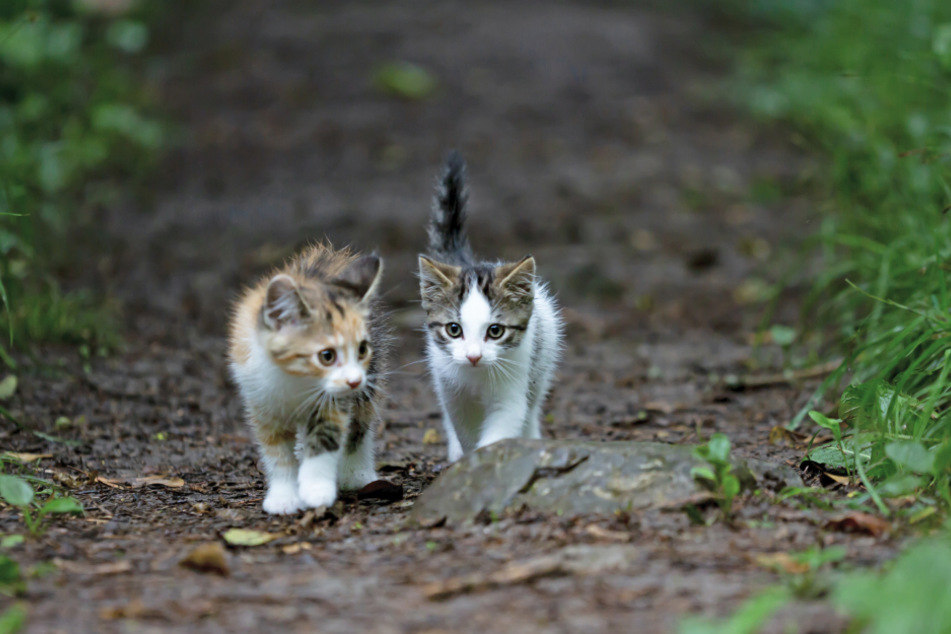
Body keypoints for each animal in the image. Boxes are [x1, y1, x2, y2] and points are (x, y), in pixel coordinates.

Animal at [230, 243, 386, 512]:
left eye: (362, 349)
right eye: (327, 356)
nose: (354, 380)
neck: (296, 379)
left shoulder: (335, 400)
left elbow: (327, 437)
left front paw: (316, 489)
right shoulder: (260, 400)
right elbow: (277, 452)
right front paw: (284, 497)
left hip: (370, 379)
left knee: (360, 425)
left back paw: (357, 473)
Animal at [418, 152, 564, 460]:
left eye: (495, 331)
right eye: (454, 329)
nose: (473, 356)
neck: (477, 376)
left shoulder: (514, 380)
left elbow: (504, 424)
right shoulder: (452, 389)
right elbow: (464, 429)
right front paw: (466, 460)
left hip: (542, 362)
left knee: (532, 408)